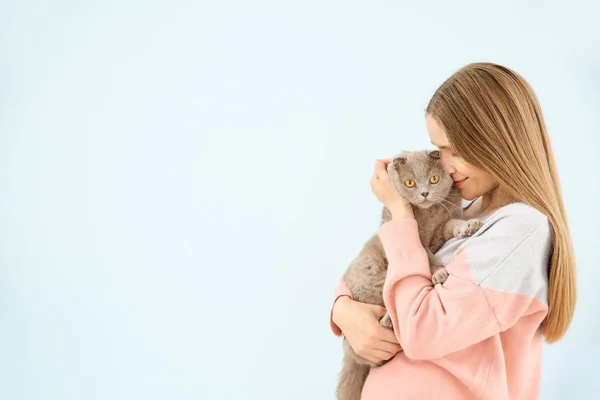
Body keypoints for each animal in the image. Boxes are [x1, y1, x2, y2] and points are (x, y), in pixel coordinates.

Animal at [338, 150, 482, 400]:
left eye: (434, 179)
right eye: (410, 183)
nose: (424, 193)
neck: (429, 214)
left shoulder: (443, 226)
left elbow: (453, 223)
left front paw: (468, 226)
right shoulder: (420, 241)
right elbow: (427, 258)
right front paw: (439, 273)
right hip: (374, 273)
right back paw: (387, 321)